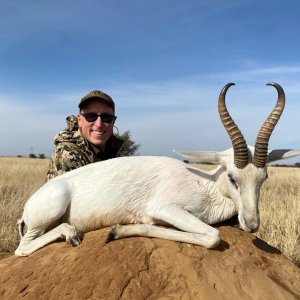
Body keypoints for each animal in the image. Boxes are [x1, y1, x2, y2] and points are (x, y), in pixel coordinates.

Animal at [14, 83, 300, 256]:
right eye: (232, 177)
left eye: (264, 177)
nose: (251, 225)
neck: (207, 185)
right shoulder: (164, 208)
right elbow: (213, 235)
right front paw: (116, 230)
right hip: (52, 208)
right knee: (22, 248)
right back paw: (71, 233)